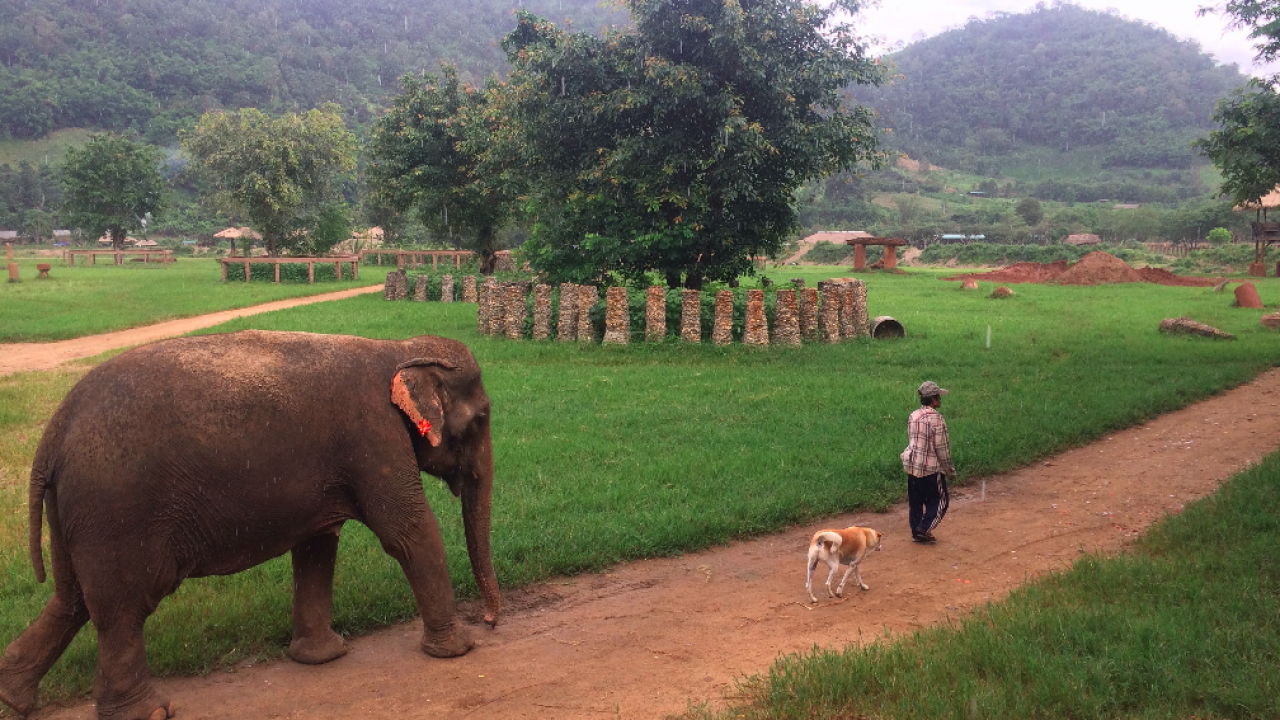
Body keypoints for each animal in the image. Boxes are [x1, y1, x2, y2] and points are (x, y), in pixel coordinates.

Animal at [0, 330, 499, 717]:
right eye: (481, 419)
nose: (492, 622)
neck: (397, 350)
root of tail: (53, 434)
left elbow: (318, 543)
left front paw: (322, 657)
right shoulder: (373, 434)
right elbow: (407, 530)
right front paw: (459, 650)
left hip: (76, 512)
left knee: (73, 599)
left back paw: (13, 696)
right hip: (116, 510)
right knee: (122, 606)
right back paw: (149, 712)